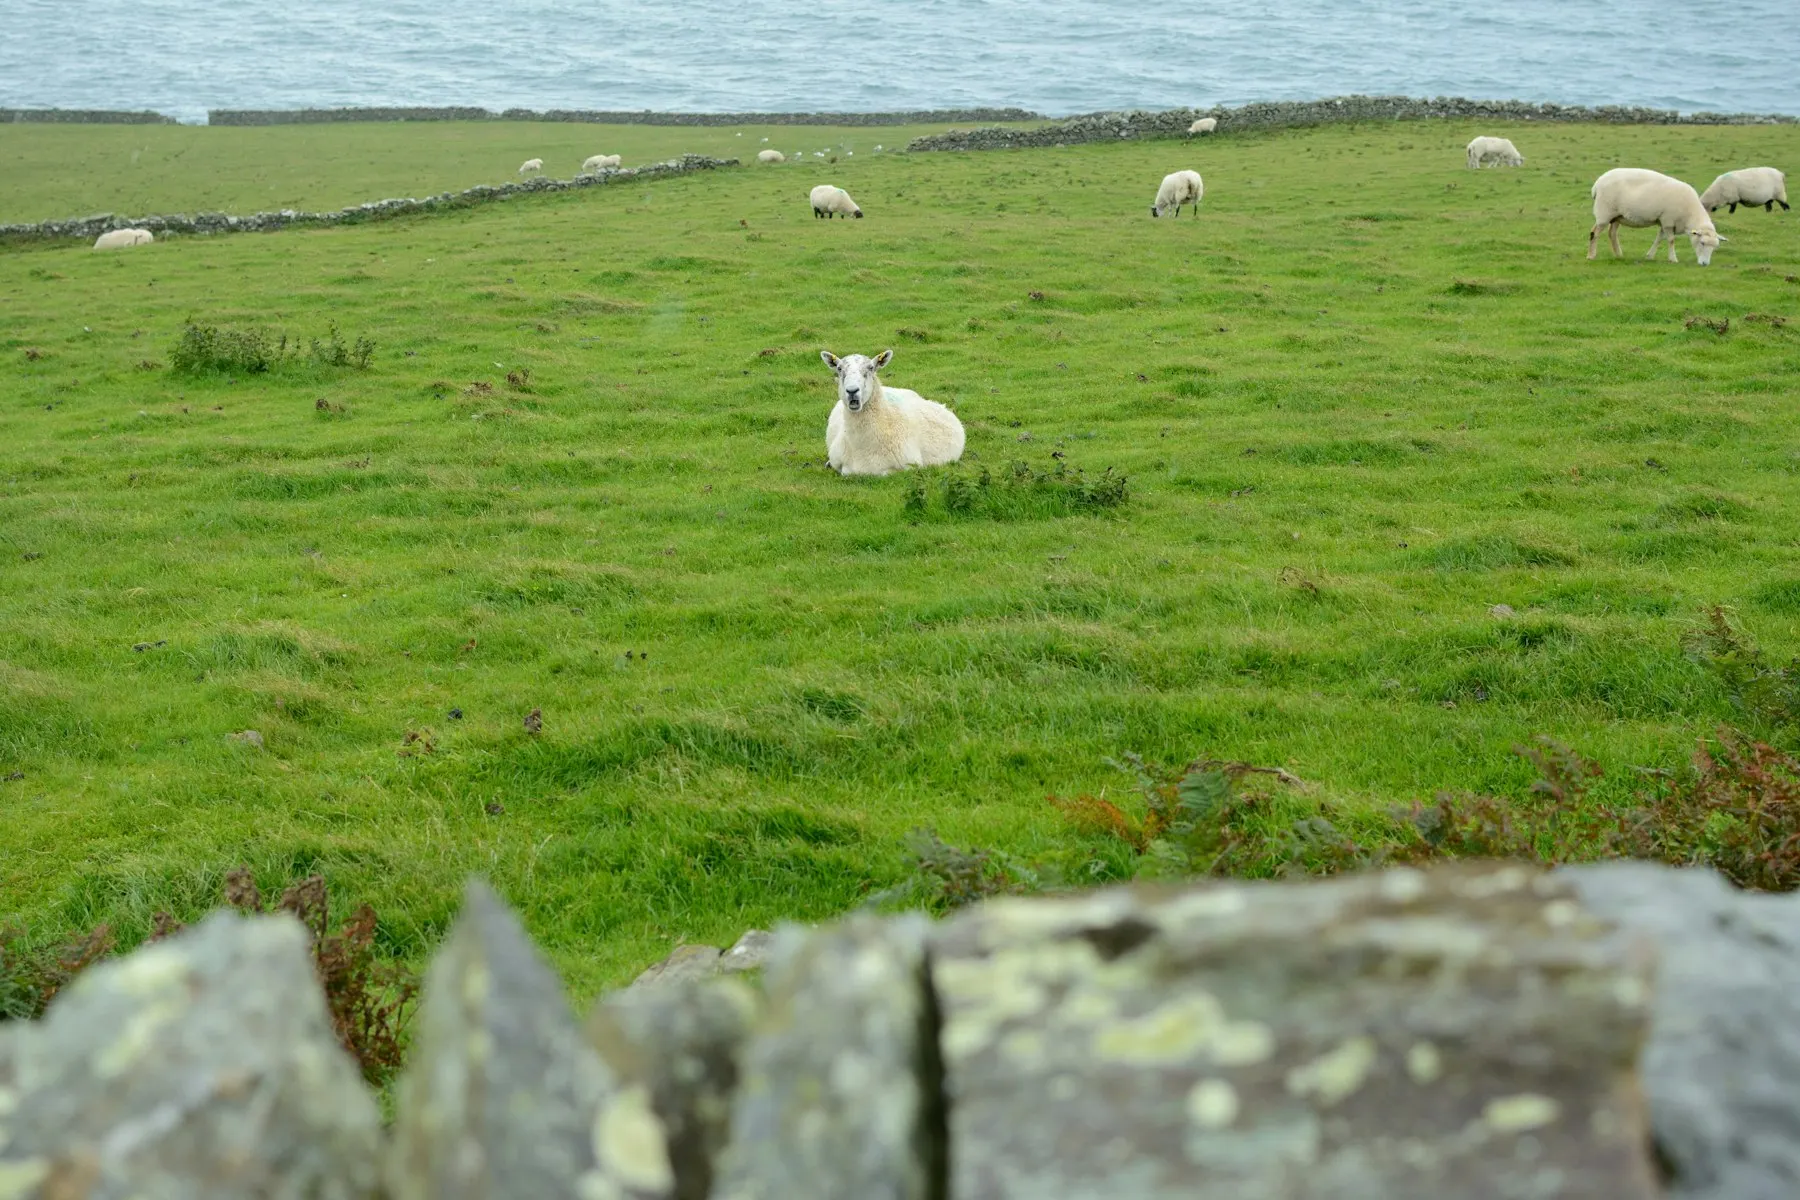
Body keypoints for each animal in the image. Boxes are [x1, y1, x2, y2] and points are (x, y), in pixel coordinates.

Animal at [819, 350, 964, 476]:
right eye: (839, 368)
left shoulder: (909, 466)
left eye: (871, 368)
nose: (852, 391)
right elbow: (845, 471)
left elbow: (883, 473)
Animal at [1589, 167, 1725, 265]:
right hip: (1604, 213)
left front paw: (1649, 256)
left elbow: (1659, 239)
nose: (1705, 264)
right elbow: (1671, 240)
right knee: (1594, 233)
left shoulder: (1663, 222)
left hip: (1617, 216)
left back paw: (1619, 255)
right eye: (1702, 243)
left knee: (1612, 233)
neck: (1690, 215)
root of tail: (1597, 184)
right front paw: (1673, 259)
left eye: (1715, 247)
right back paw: (1591, 256)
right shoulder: (1668, 221)